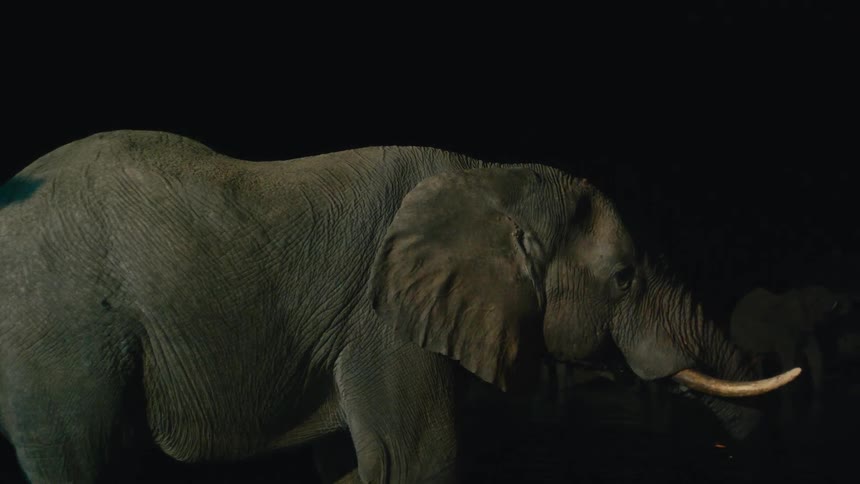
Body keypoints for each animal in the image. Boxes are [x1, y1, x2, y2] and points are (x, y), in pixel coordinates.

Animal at [0, 130, 800, 483]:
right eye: (627, 278)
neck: (491, 175)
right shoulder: (381, 318)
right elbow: (418, 458)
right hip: (58, 328)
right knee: (75, 455)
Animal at [729, 285, 855, 430]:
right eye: (817, 300)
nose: (848, 302)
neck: (801, 296)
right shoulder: (784, 334)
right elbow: (789, 363)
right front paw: (787, 420)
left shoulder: (806, 332)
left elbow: (814, 357)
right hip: (738, 335)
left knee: (758, 359)